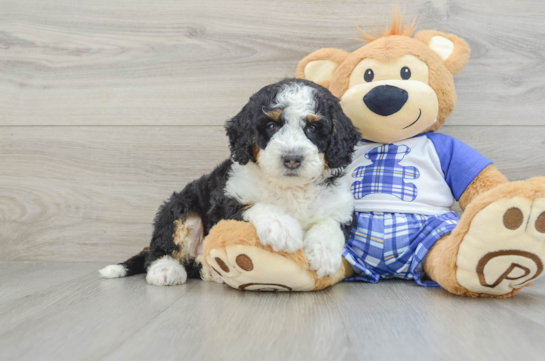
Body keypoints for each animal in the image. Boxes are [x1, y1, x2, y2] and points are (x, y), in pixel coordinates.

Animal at [99, 78, 360, 284]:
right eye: (272, 125)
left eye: (314, 128)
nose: (292, 159)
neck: (290, 188)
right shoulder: (226, 200)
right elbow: (256, 204)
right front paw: (282, 227)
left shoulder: (342, 207)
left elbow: (331, 222)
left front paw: (324, 253)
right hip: (181, 206)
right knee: (163, 246)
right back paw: (165, 270)